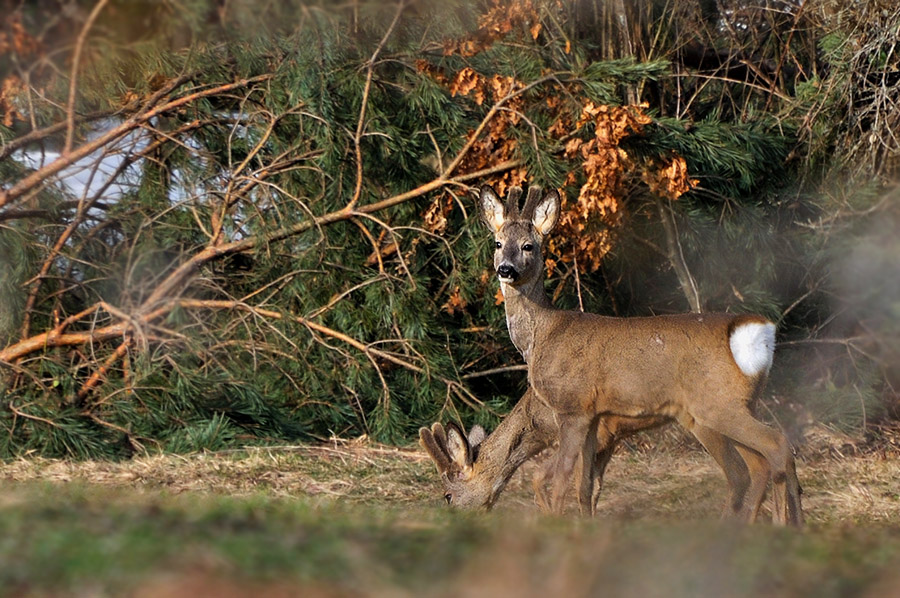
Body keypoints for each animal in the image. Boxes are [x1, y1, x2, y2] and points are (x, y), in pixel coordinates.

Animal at [422, 392, 768, 516]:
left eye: (447, 496)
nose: (453, 522)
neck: (539, 422)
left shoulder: (584, 435)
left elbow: (566, 486)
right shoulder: (608, 441)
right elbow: (594, 489)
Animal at [478, 185, 800, 528]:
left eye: (528, 246)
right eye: (498, 243)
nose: (505, 269)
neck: (542, 335)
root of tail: (758, 330)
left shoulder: (572, 406)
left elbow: (561, 478)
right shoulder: (594, 414)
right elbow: (585, 485)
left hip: (716, 404)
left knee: (775, 446)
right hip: (734, 404)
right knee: (758, 462)